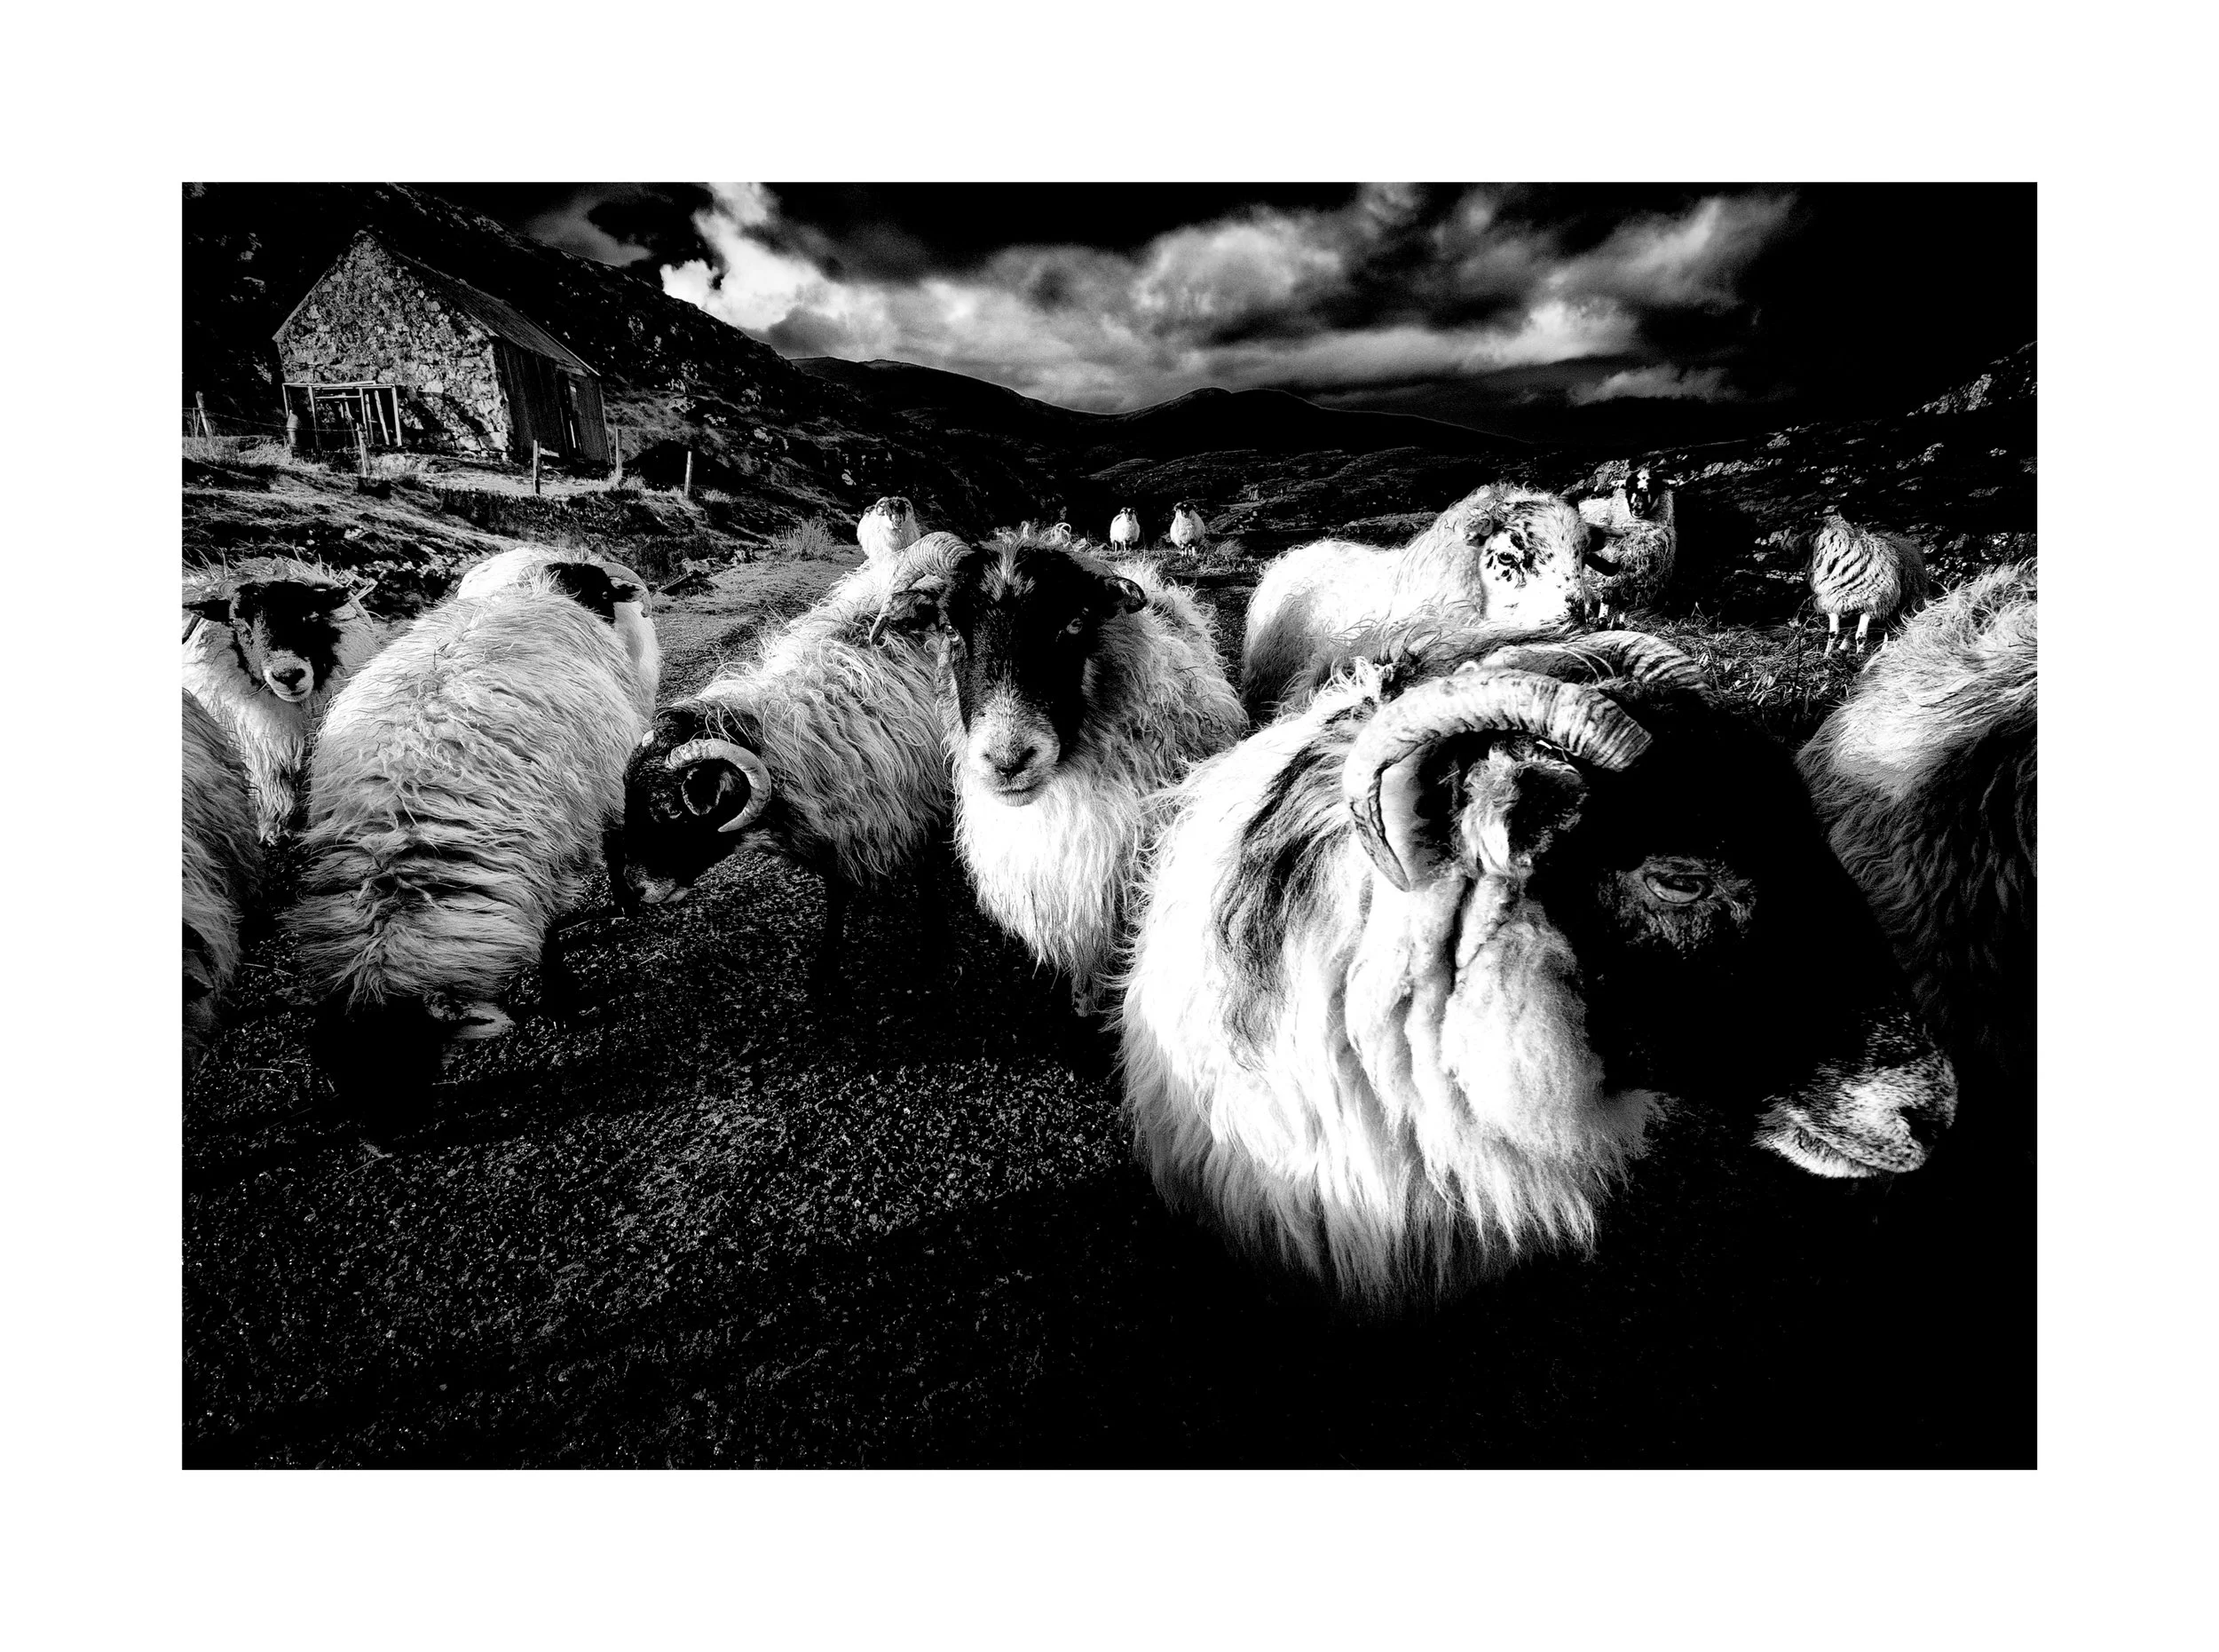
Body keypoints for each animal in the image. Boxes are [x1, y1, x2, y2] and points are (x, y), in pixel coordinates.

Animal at [290, 556, 658, 1119]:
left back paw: (625, 901)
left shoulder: (543, 856)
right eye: (349, 1086)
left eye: (410, 1068)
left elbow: (549, 938)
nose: (393, 1140)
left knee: (617, 837)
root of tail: (547, 563)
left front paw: (565, 1006)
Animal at [609, 533, 963, 1001]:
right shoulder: (837, 830)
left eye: (670, 809)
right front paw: (825, 968)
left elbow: (926, 875)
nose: (634, 891)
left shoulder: (921, 803)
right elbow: (837, 893)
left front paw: (935, 948)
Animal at [1809, 512, 1930, 654]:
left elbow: (1861, 636)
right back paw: (1843, 648)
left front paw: (1859, 655)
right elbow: (1833, 633)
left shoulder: (1871, 605)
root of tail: (1905, 540)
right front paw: (1826, 655)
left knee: (1889, 628)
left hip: (1899, 601)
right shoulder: (1834, 604)